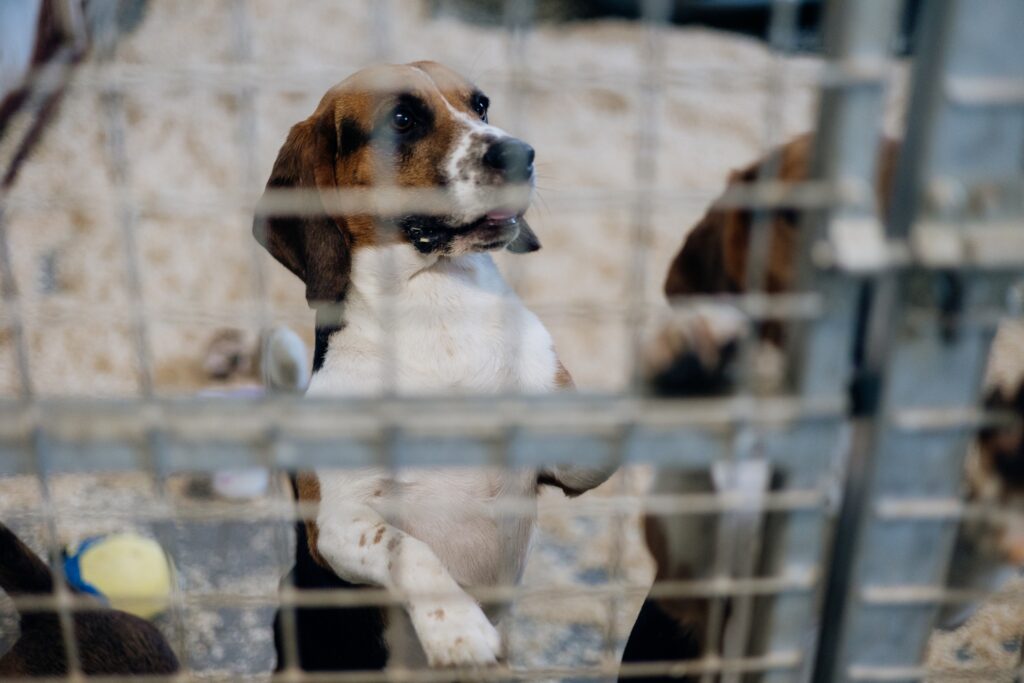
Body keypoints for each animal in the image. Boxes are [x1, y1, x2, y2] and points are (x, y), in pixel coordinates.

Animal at [254, 62, 610, 671]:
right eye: (402, 119)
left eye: (481, 105)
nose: (522, 154)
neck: (438, 304)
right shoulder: (338, 527)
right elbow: (407, 547)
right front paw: (457, 627)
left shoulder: (570, 462)